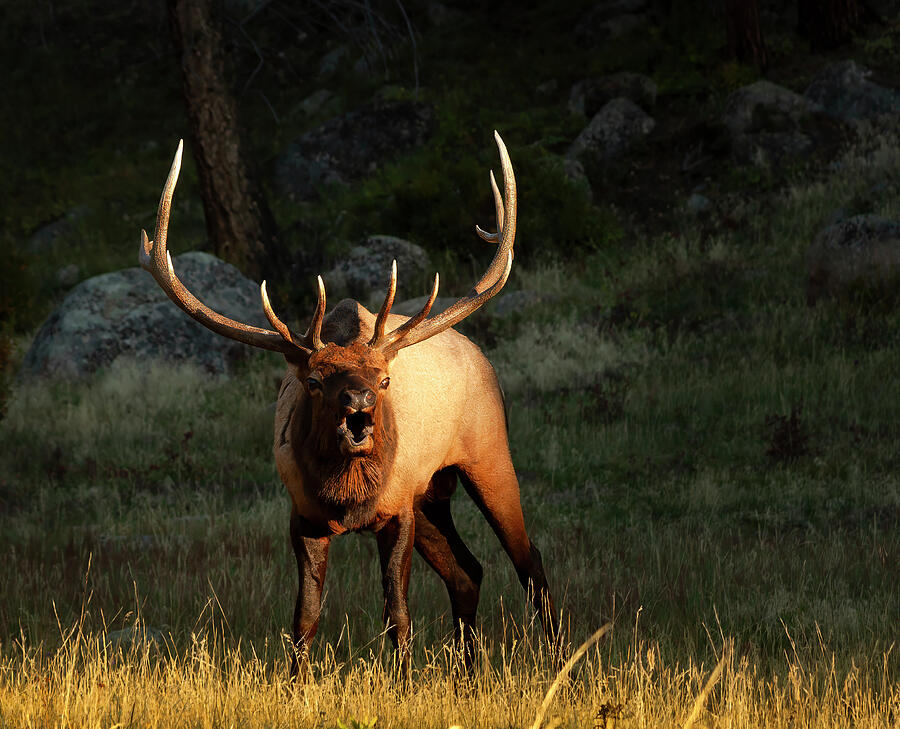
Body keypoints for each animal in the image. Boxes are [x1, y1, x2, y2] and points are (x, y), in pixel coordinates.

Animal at [139, 132, 557, 676]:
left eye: (384, 380)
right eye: (315, 380)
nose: (358, 402)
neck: (348, 498)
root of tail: (481, 355)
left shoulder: (396, 509)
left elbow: (397, 614)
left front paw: (404, 682)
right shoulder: (304, 515)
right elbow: (304, 618)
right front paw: (293, 683)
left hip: (487, 455)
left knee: (529, 561)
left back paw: (560, 663)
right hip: (430, 495)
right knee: (468, 571)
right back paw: (468, 674)